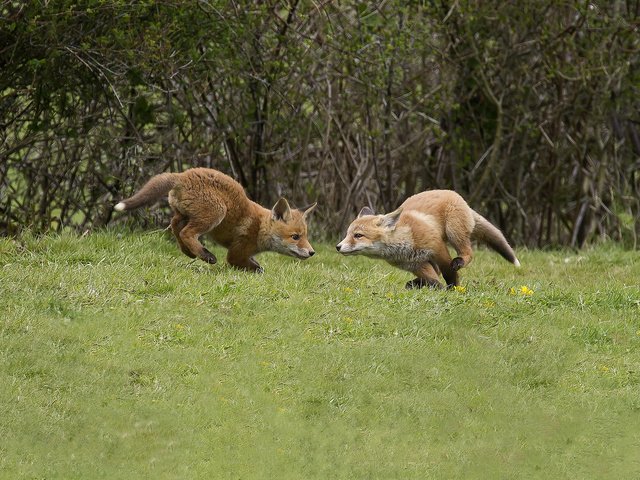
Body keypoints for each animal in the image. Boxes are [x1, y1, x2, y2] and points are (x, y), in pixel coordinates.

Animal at [115, 168, 318, 272]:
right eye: (295, 237)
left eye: (306, 236)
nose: (312, 252)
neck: (260, 228)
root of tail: (183, 174)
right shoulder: (236, 253)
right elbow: (250, 265)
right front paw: (256, 269)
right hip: (216, 212)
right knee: (186, 232)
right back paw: (205, 255)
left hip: (184, 214)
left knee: (174, 226)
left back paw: (189, 252)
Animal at [336, 190, 520, 288]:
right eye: (347, 234)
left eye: (358, 235)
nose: (338, 247)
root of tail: (456, 195)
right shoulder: (416, 264)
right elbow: (433, 280)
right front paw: (437, 288)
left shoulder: (438, 249)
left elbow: (449, 274)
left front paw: (453, 289)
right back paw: (415, 284)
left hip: (454, 233)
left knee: (468, 253)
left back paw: (459, 261)